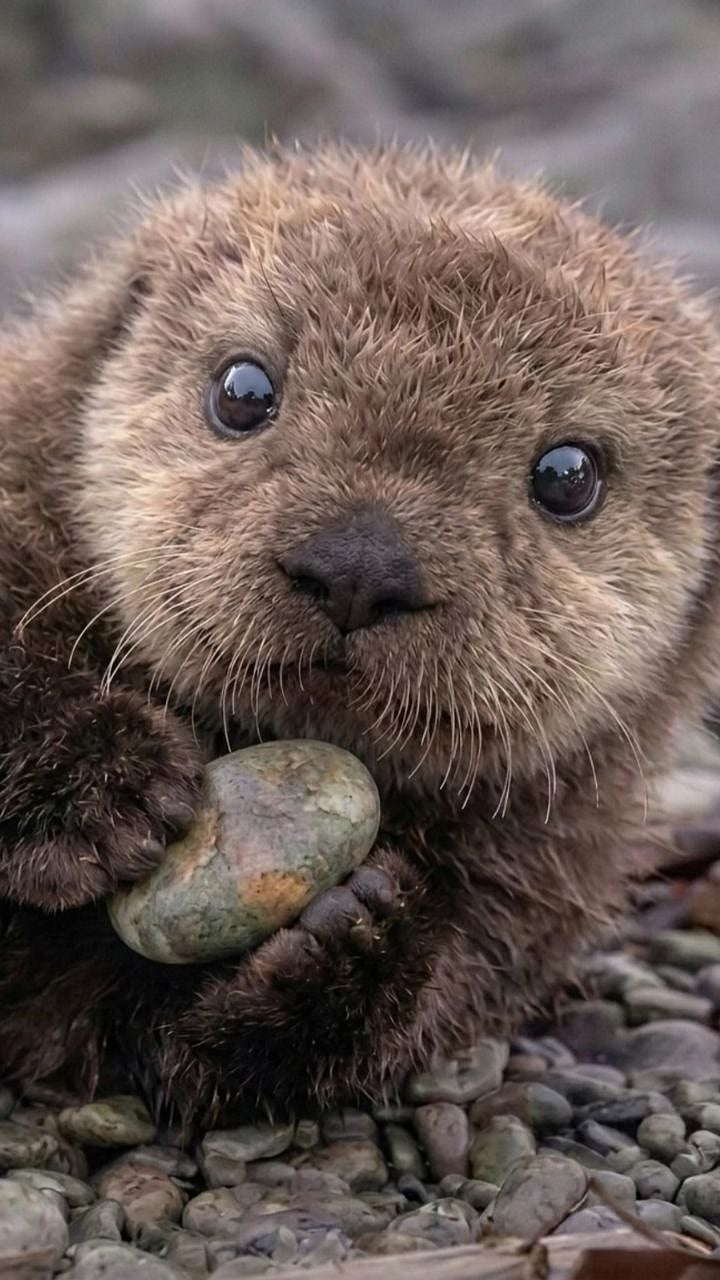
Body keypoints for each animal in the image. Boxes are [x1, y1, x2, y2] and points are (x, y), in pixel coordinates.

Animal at [0, 140, 718, 1125]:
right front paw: (103, 782)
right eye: (243, 389)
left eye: (570, 475)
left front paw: (357, 933)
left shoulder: (545, 871)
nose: (359, 566)